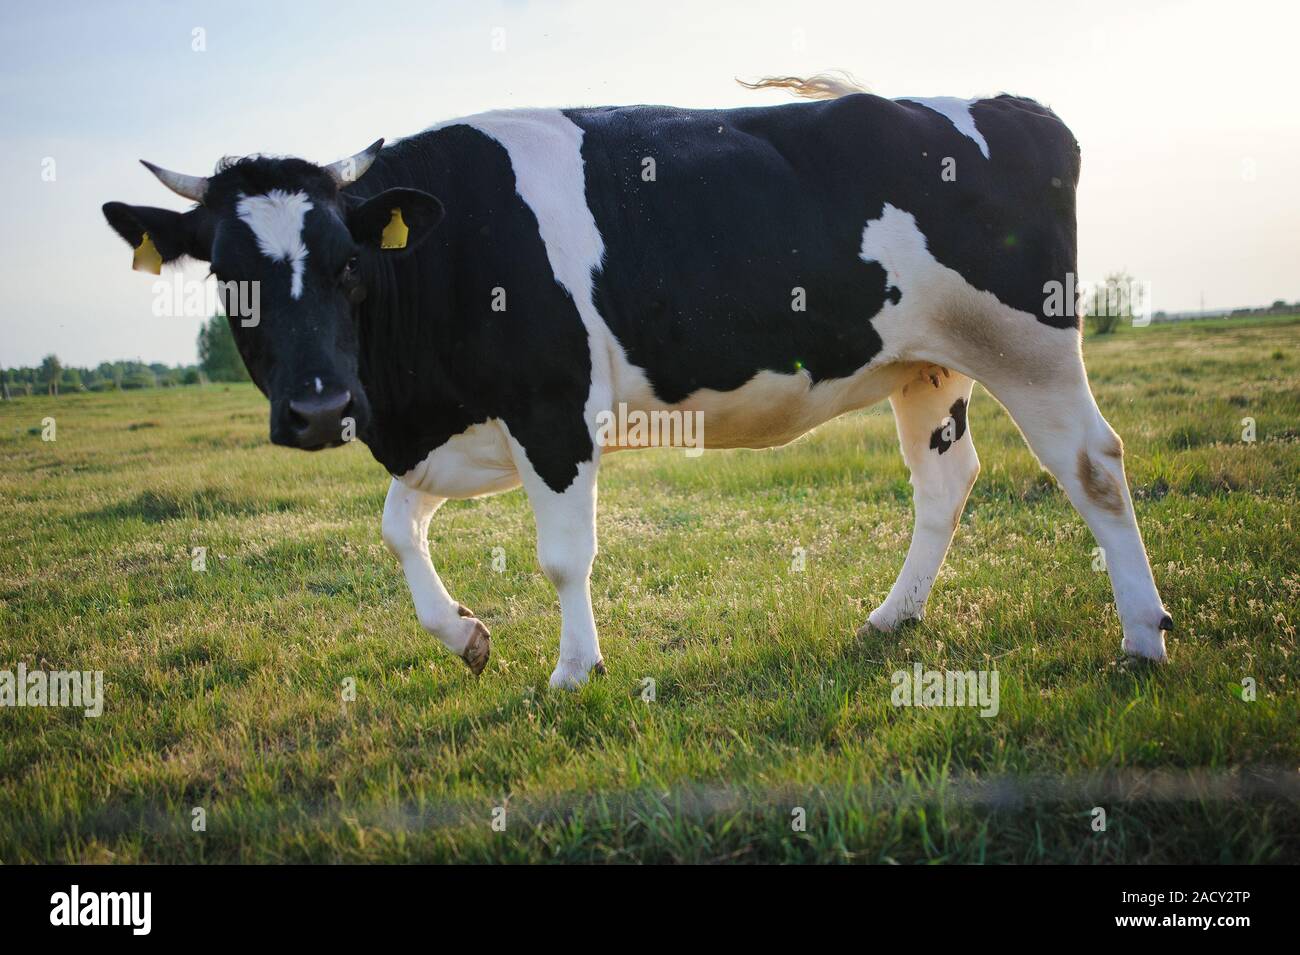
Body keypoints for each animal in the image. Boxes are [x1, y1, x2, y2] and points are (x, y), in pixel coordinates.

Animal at [102, 74, 1172, 689]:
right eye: (229, 275)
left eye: (346, 265)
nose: (321, 406)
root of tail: (1006, 103)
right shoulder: (460, 430)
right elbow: (396, 527)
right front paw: (465, 636)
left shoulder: (551, 411)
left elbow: (562, 557)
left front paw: (576, 670)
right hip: (927, 362)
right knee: (947, 484)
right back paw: (890, 619)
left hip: (1027, 339)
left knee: (1095, 466)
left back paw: (1144, 637)